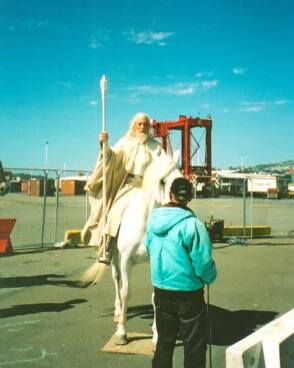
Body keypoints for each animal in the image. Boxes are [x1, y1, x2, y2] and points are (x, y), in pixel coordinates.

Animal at [82, 151, 181, 346]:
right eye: (162, 181)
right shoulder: (126, 261)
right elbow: (125, 292)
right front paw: (121, 333)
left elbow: (155, 298)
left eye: (181, 177)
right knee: (117, 281)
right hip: (115, 259)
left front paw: (156, 335)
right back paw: (118, 312)